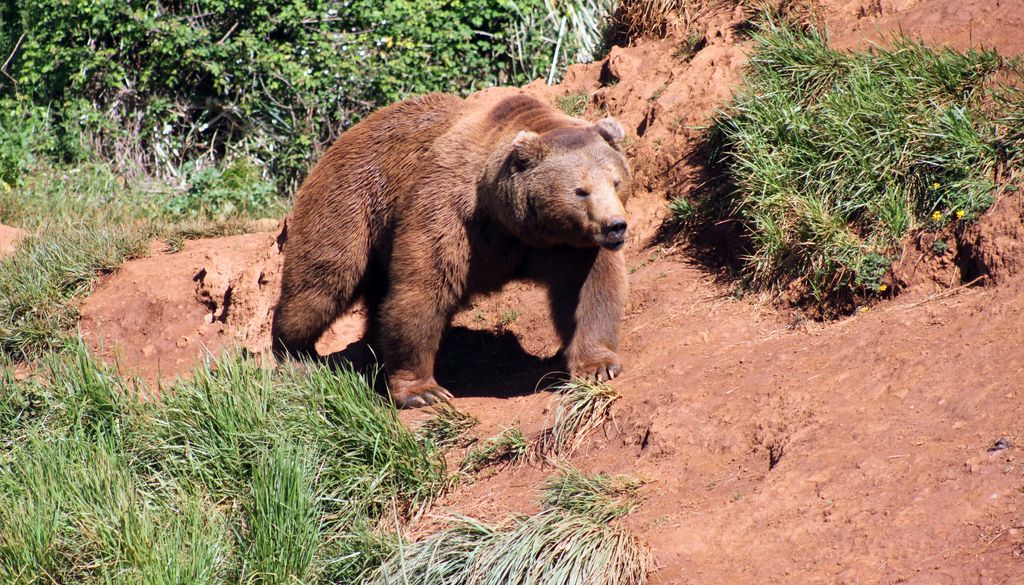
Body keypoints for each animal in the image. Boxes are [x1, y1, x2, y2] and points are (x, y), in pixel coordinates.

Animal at [272, 91, 631, 408]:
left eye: (615, 181)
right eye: (581, 190)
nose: (615, 226)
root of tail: (345, 136)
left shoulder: (570, 245)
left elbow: (589, 291)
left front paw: (597, 366)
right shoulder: (451, 210)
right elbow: (425, 288)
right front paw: (423, 391)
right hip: (351, 202)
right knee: (322, 284)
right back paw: (295, 355)